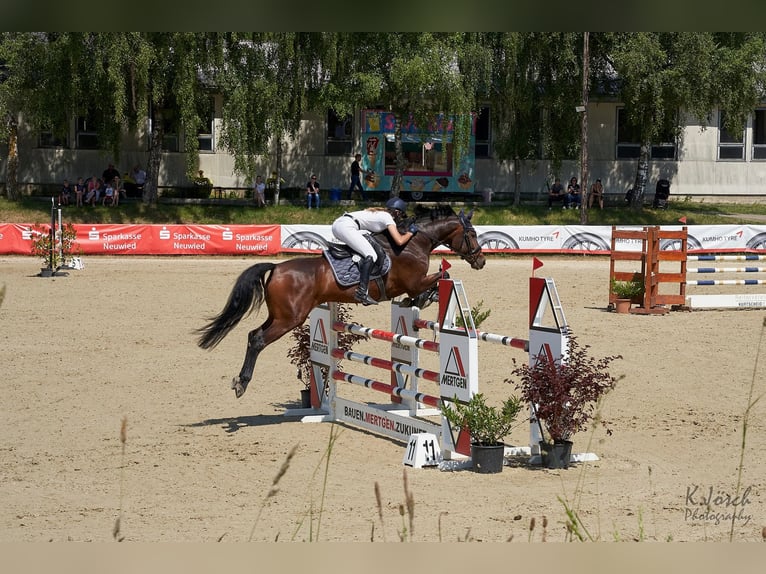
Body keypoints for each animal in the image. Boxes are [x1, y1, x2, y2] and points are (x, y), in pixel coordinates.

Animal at [196, 204, 486, 398]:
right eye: (471, 234)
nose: (481, 261)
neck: (413, 242)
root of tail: (276, 267)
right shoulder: (413, 281)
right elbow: (441, 276)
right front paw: (424, 297)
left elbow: (438, 280)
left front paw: (421, 299)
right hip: (290, 318)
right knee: (257, 340)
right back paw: (242, 383)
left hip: (279, 315)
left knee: (252, 334)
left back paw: (240, 380)